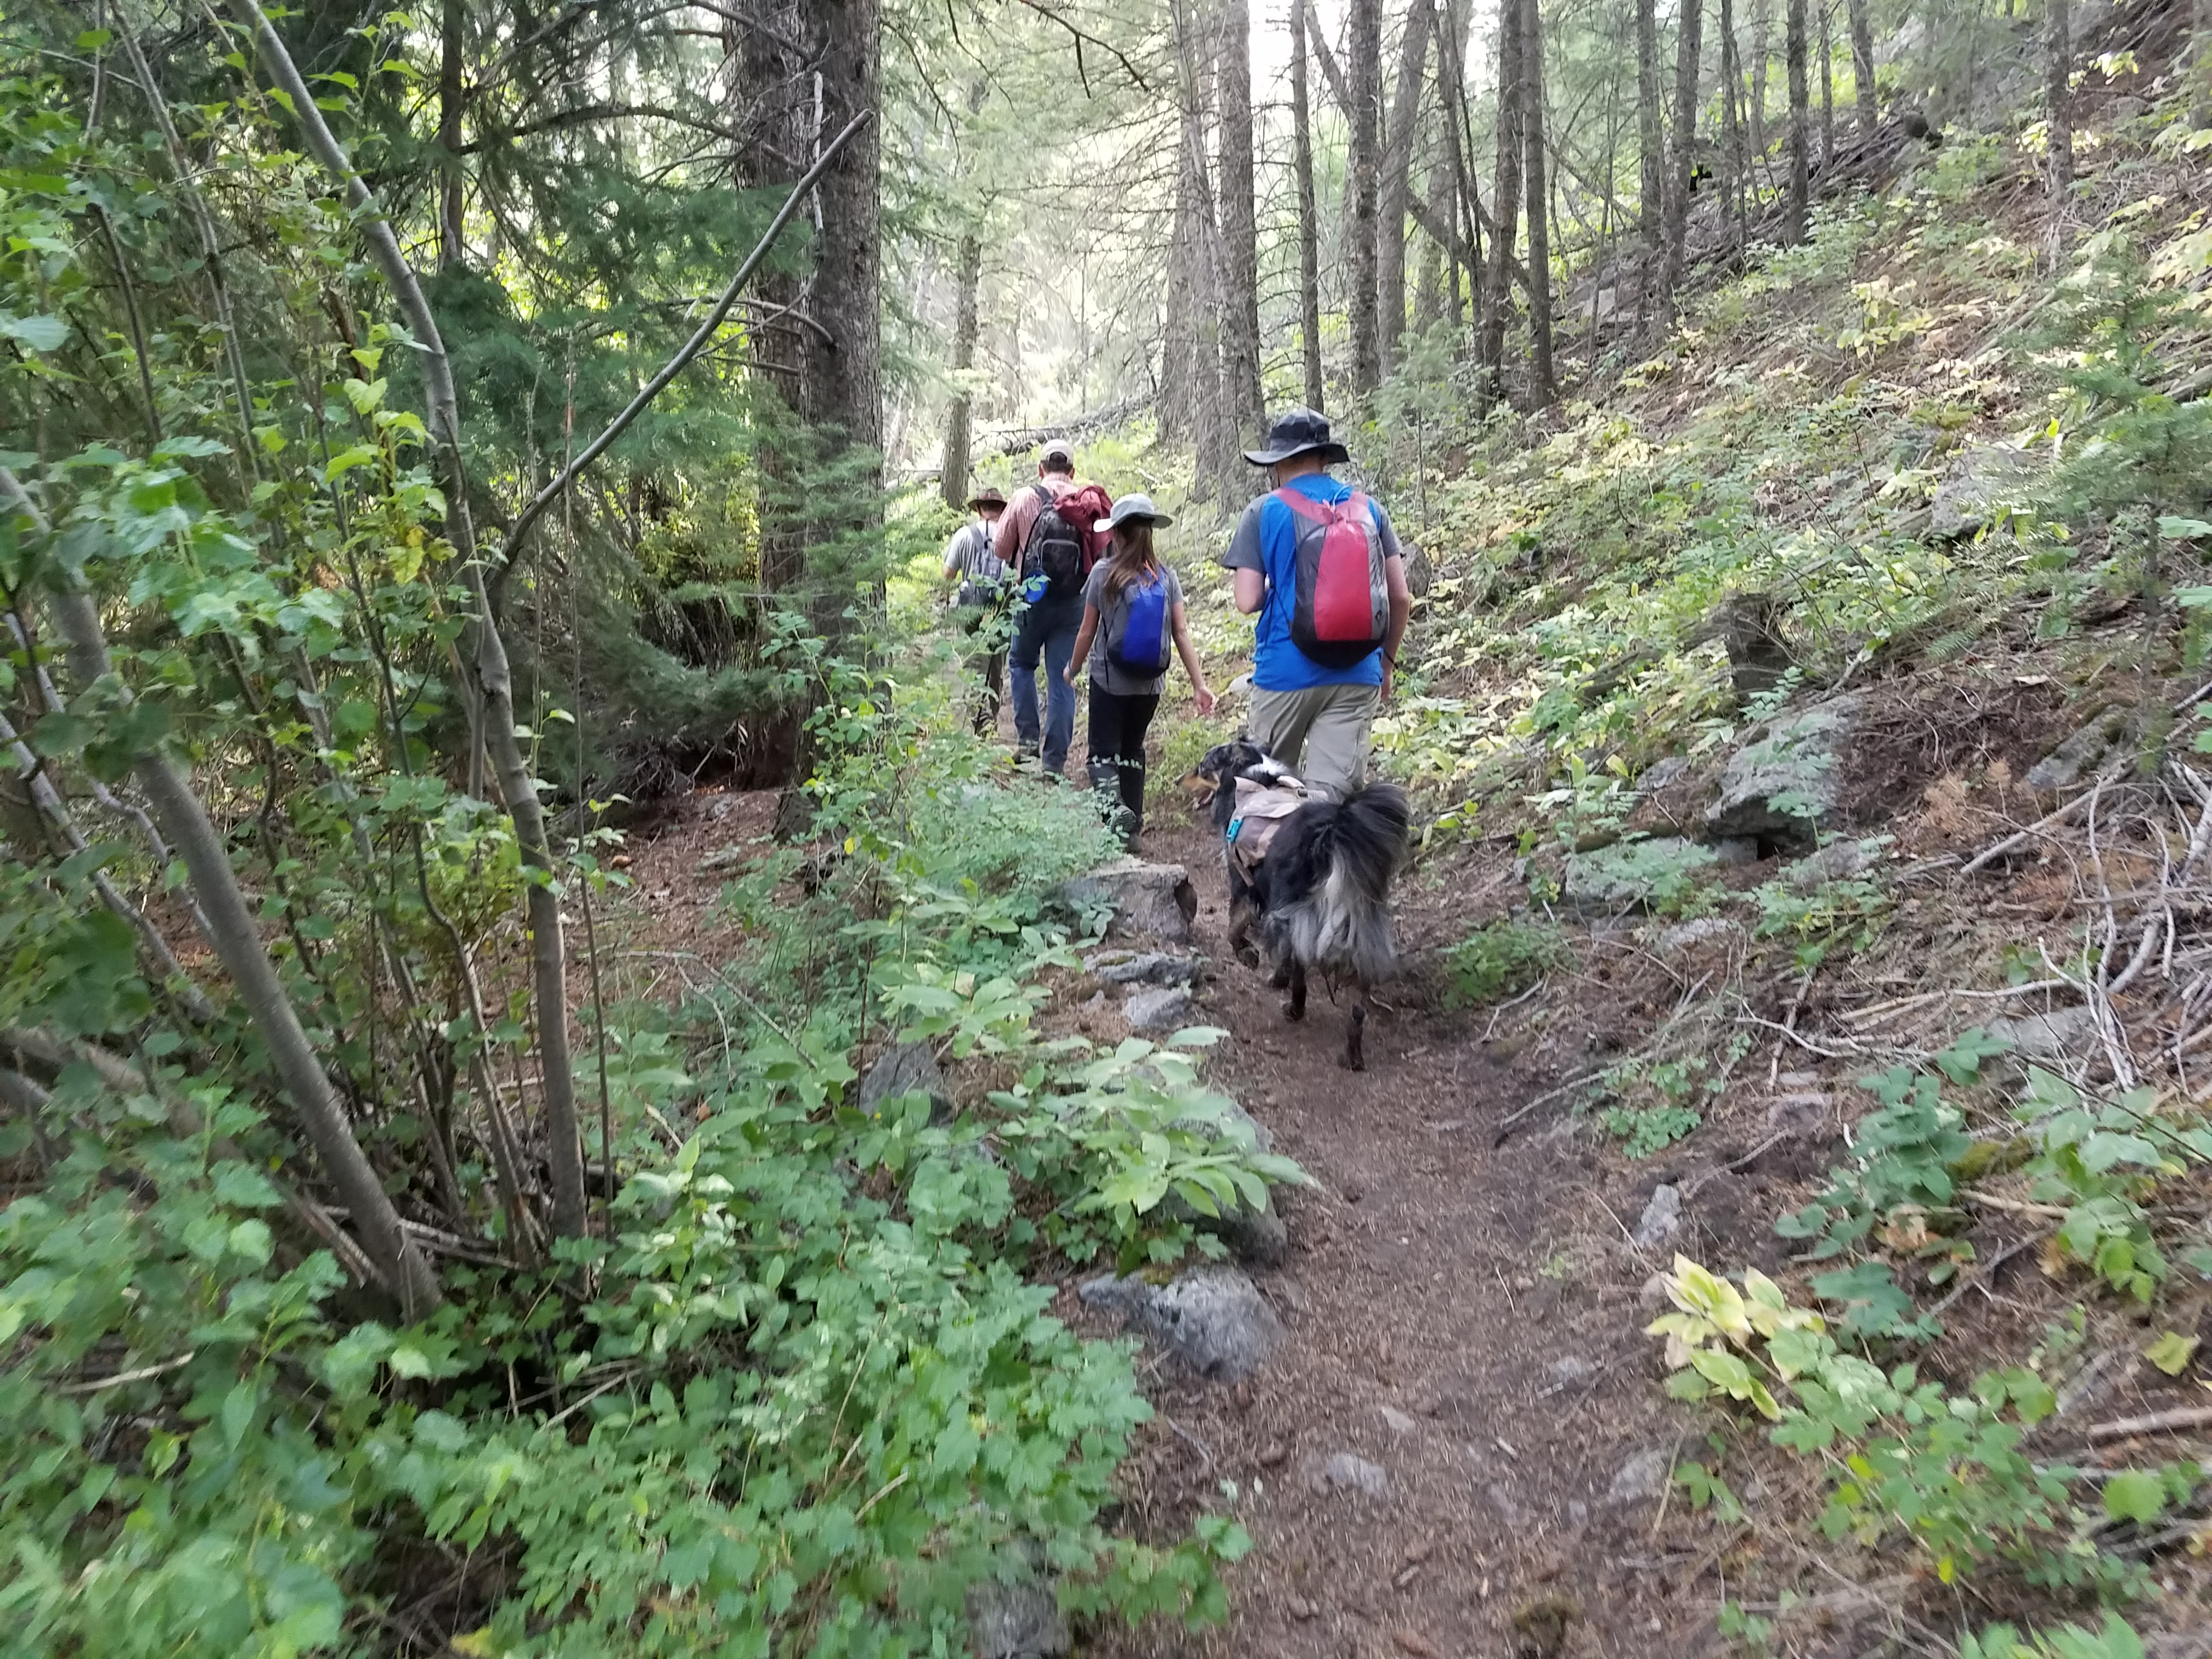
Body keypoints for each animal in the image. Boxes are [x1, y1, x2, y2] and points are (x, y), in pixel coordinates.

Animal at [1194, 743, 1415, 1079]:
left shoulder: (1243, 882)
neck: (1251, 775)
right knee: (1358, 1009)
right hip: (1362, 932)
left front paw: (1249, 957)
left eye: (1205, 765)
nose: (1187, 774)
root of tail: (1331, 832)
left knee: (1298, 968)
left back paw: (1294, 1008)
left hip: (1295, 916)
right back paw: (1352, 1056)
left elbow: (1234, 927)